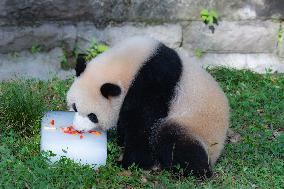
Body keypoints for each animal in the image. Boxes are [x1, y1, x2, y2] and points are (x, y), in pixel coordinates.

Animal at [67, 36, 231, 178]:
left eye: (92, 116)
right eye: (75, 107)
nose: (77, 129)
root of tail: (217, 150)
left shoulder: (153, 82)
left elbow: (142, 123)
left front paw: (128, 162)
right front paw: (120, 142)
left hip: (196, 127)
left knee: (172, 138)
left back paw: (189, 170)